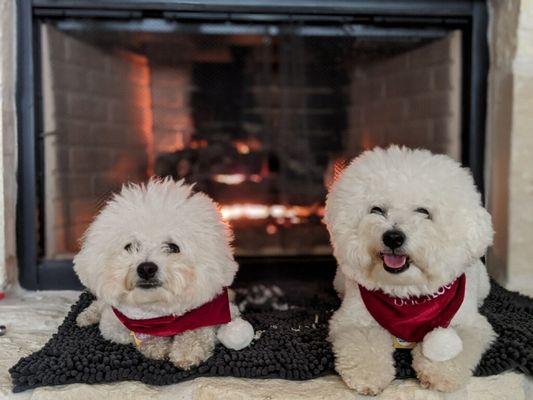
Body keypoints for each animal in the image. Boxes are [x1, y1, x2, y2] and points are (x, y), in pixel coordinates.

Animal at [73, 180, 254, 370]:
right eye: (130, 246)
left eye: (173, 247)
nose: (146, 268)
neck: (161, 316)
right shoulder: (113, 325)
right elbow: (134, 333)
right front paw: (156, 346)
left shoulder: (216, 310)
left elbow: (199, 330)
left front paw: (187, 351)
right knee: (100, 303)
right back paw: (86, 316)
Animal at [324, 146, 494, 394]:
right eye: (377, 209)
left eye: (423, 211)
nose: (393, 237)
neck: (407, 294)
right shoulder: (355, 320)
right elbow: (363, 344)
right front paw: (368, 375)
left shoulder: (468, 324)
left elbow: (457, 348)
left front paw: (441, 374)